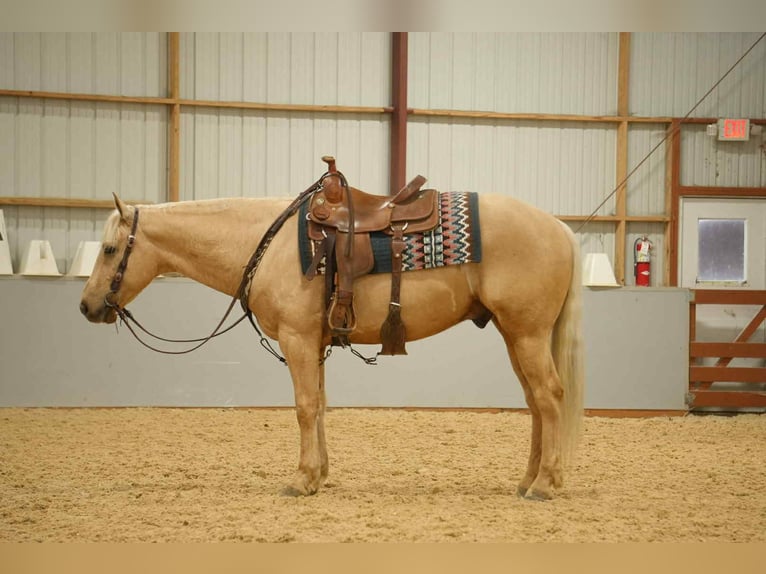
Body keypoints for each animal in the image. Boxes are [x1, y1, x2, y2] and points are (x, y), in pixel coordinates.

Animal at [79, 181, 584, 501]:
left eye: (109, 250)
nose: (86, 307)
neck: (272, 244)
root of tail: (558, 227)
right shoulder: (314, 343)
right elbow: (320, 405)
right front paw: (319, 475)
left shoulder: (298, 339)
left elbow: (304, 407)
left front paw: (301, 480)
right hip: (514, 334)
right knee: (536, 403)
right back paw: (528, 480)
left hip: (526, 333)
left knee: (549, 396)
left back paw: (545, 484)